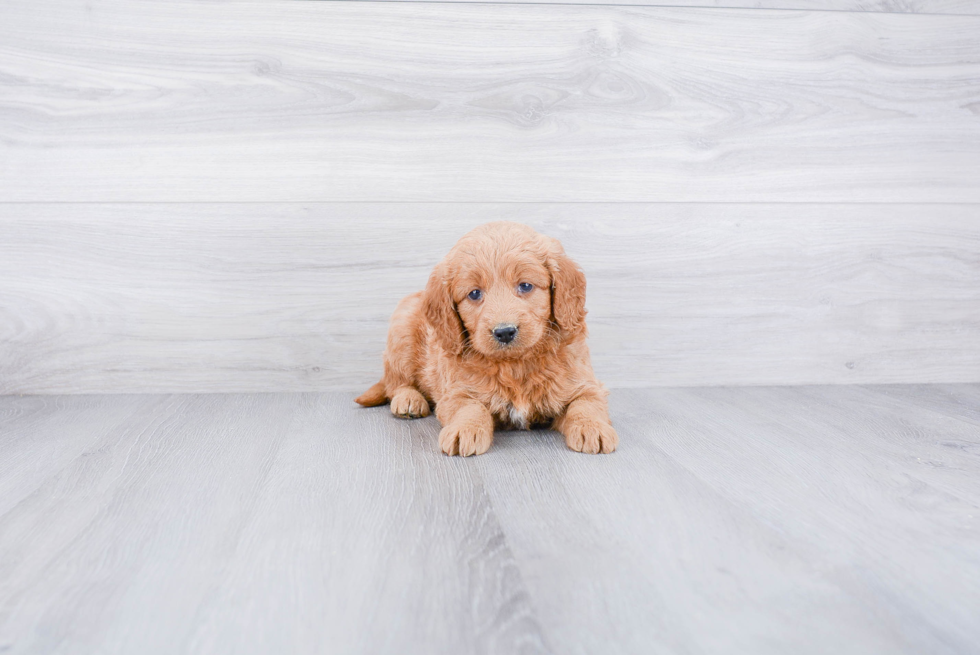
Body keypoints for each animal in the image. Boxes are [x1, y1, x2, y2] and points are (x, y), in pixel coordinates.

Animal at [358, 220, 620, 456]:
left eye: (526, 286)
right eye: (474, 293)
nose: (504, 332)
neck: (515, 364)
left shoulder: (585, 383)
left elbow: (586, 403)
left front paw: (592, 427)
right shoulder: (455, 391)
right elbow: (470, 407)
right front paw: (465, 430)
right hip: (401, 331)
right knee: (395, 382)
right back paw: (409, 400)